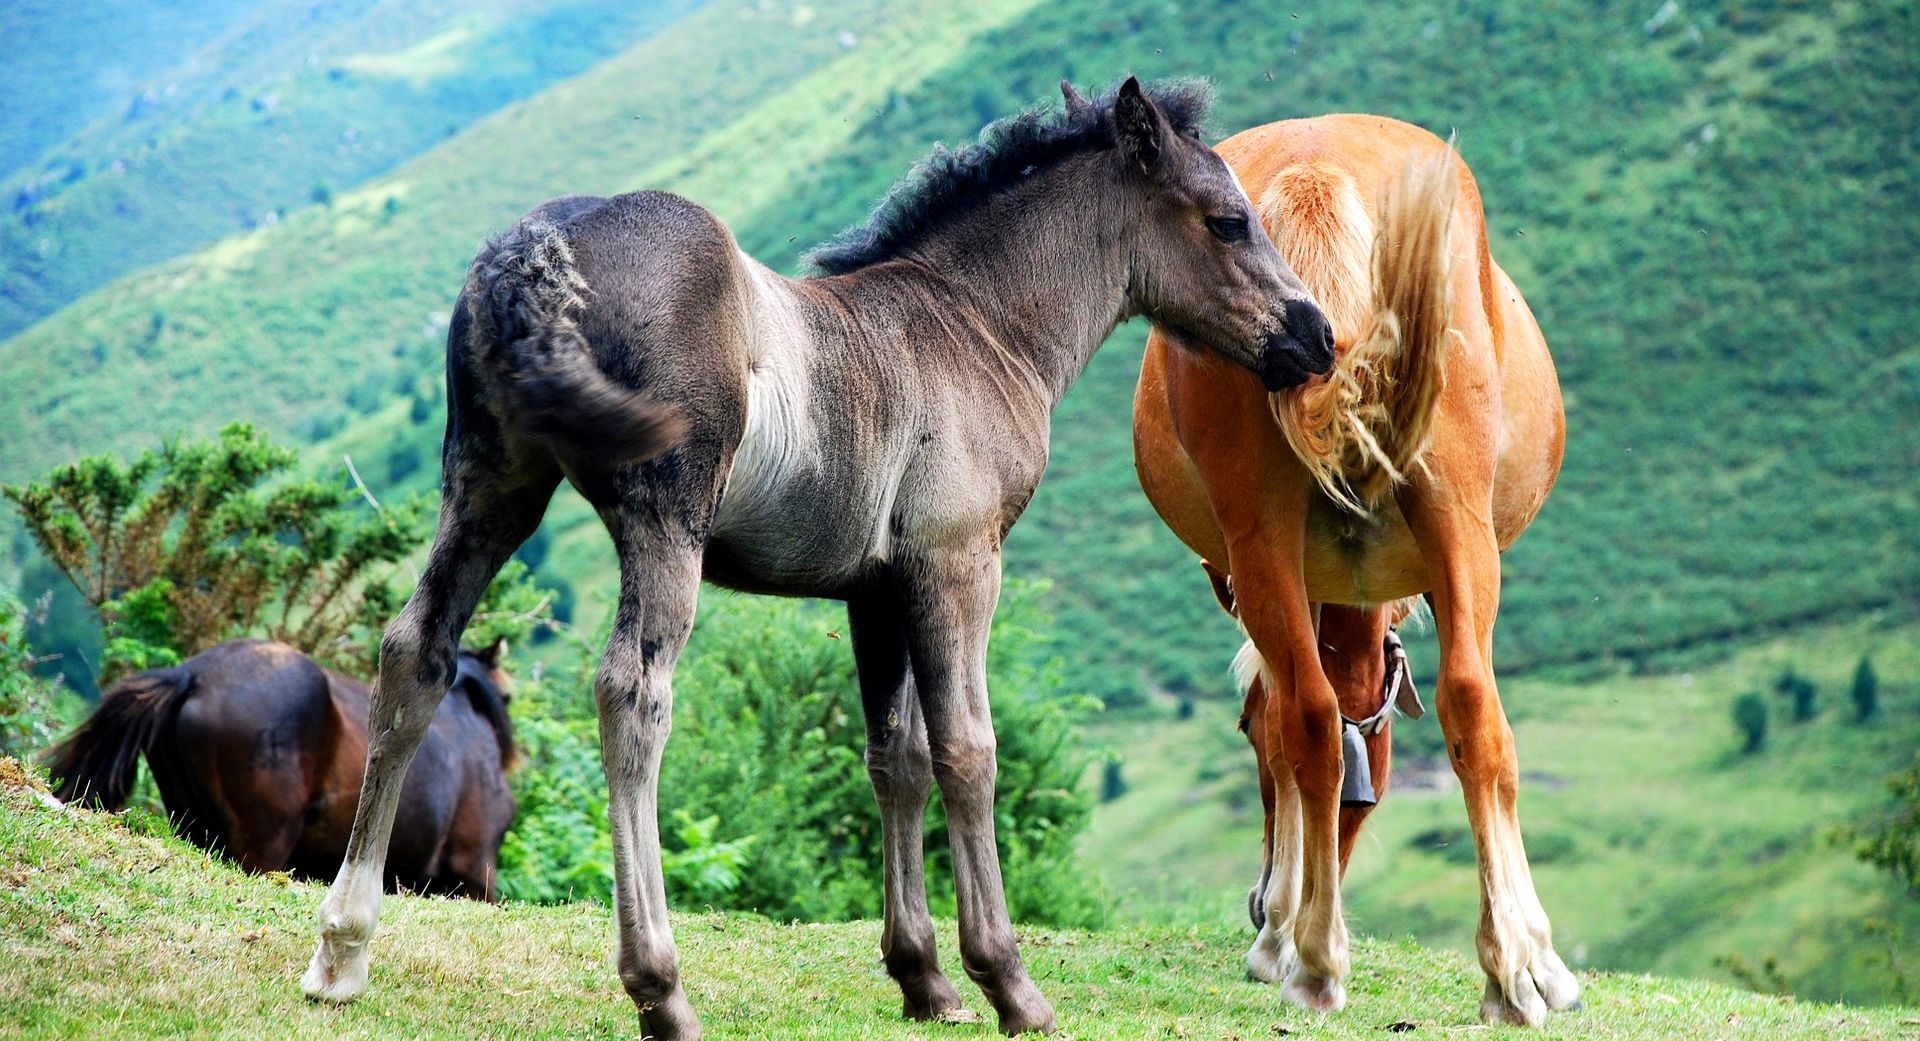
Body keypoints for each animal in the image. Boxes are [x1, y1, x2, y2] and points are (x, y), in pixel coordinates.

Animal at [303, 77, 1336, 1037]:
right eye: (1230, 219)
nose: (1316, 335)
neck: (980, 325)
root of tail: (539, 249)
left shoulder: (875, 591)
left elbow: (897, 757)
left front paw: (924, 979)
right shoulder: (958, 565)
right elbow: (968, 750)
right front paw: (1008, 982)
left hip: (491, 486)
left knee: (417, 650)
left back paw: (341, 952)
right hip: (662, 518)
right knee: (631, 692)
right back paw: (661, 988)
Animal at [1121, 118, 1574, 1029]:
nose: (1257, 905)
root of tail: (1316, 167)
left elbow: (1297, 723)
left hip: (1285, 537)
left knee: (1336, 718)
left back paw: (1349, 961)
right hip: (1451, 519)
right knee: (1454, 710)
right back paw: (1481, 963)